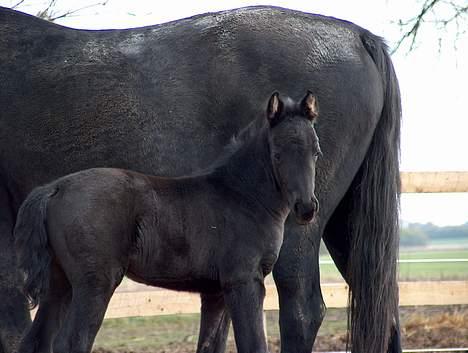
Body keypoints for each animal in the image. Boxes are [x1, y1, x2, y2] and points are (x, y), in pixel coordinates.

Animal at [14, 93, 322, 352]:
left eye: (316, 152)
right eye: (277, 153)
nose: (306, 208)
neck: (242, 195)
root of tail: (55, 187)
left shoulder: (216, 293)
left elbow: (210, 345)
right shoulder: (245, 281)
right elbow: (253, 344)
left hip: (60, 284)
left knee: (35, 341)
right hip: (94, 285)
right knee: (71, 342)